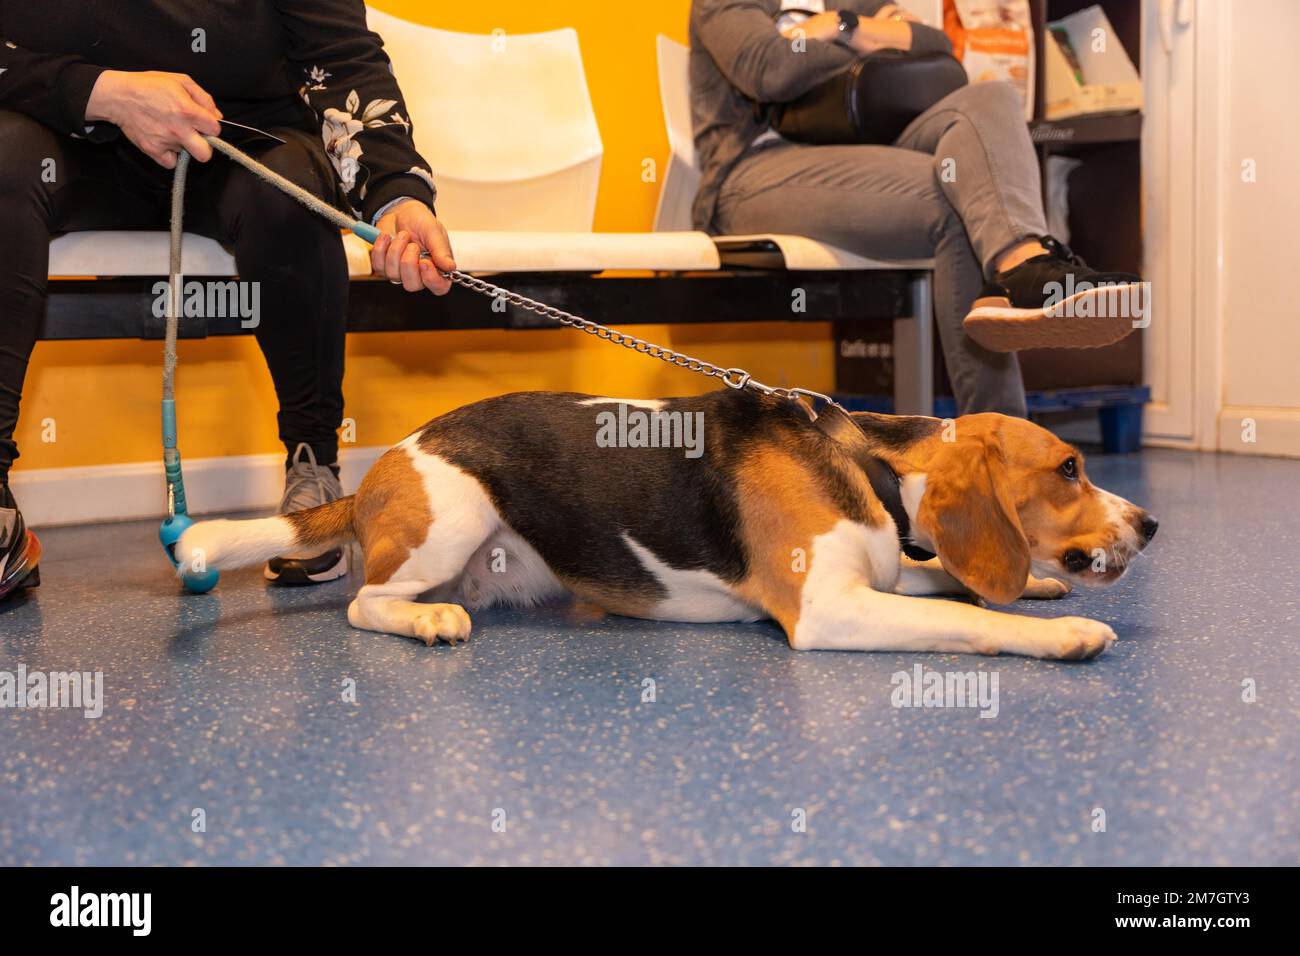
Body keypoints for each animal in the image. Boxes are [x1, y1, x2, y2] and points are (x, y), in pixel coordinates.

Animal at [180, 390, 1159, 658]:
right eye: (1069, 468)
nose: (1150, 524)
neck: (866, 460)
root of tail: (386, 464)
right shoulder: (829, 608)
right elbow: (965, 615)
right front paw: (1062, 629)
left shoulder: (878, 574)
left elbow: (941, 574)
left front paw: (1036, 582)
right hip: (453, 515)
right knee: (365, 603)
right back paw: (427, 619)